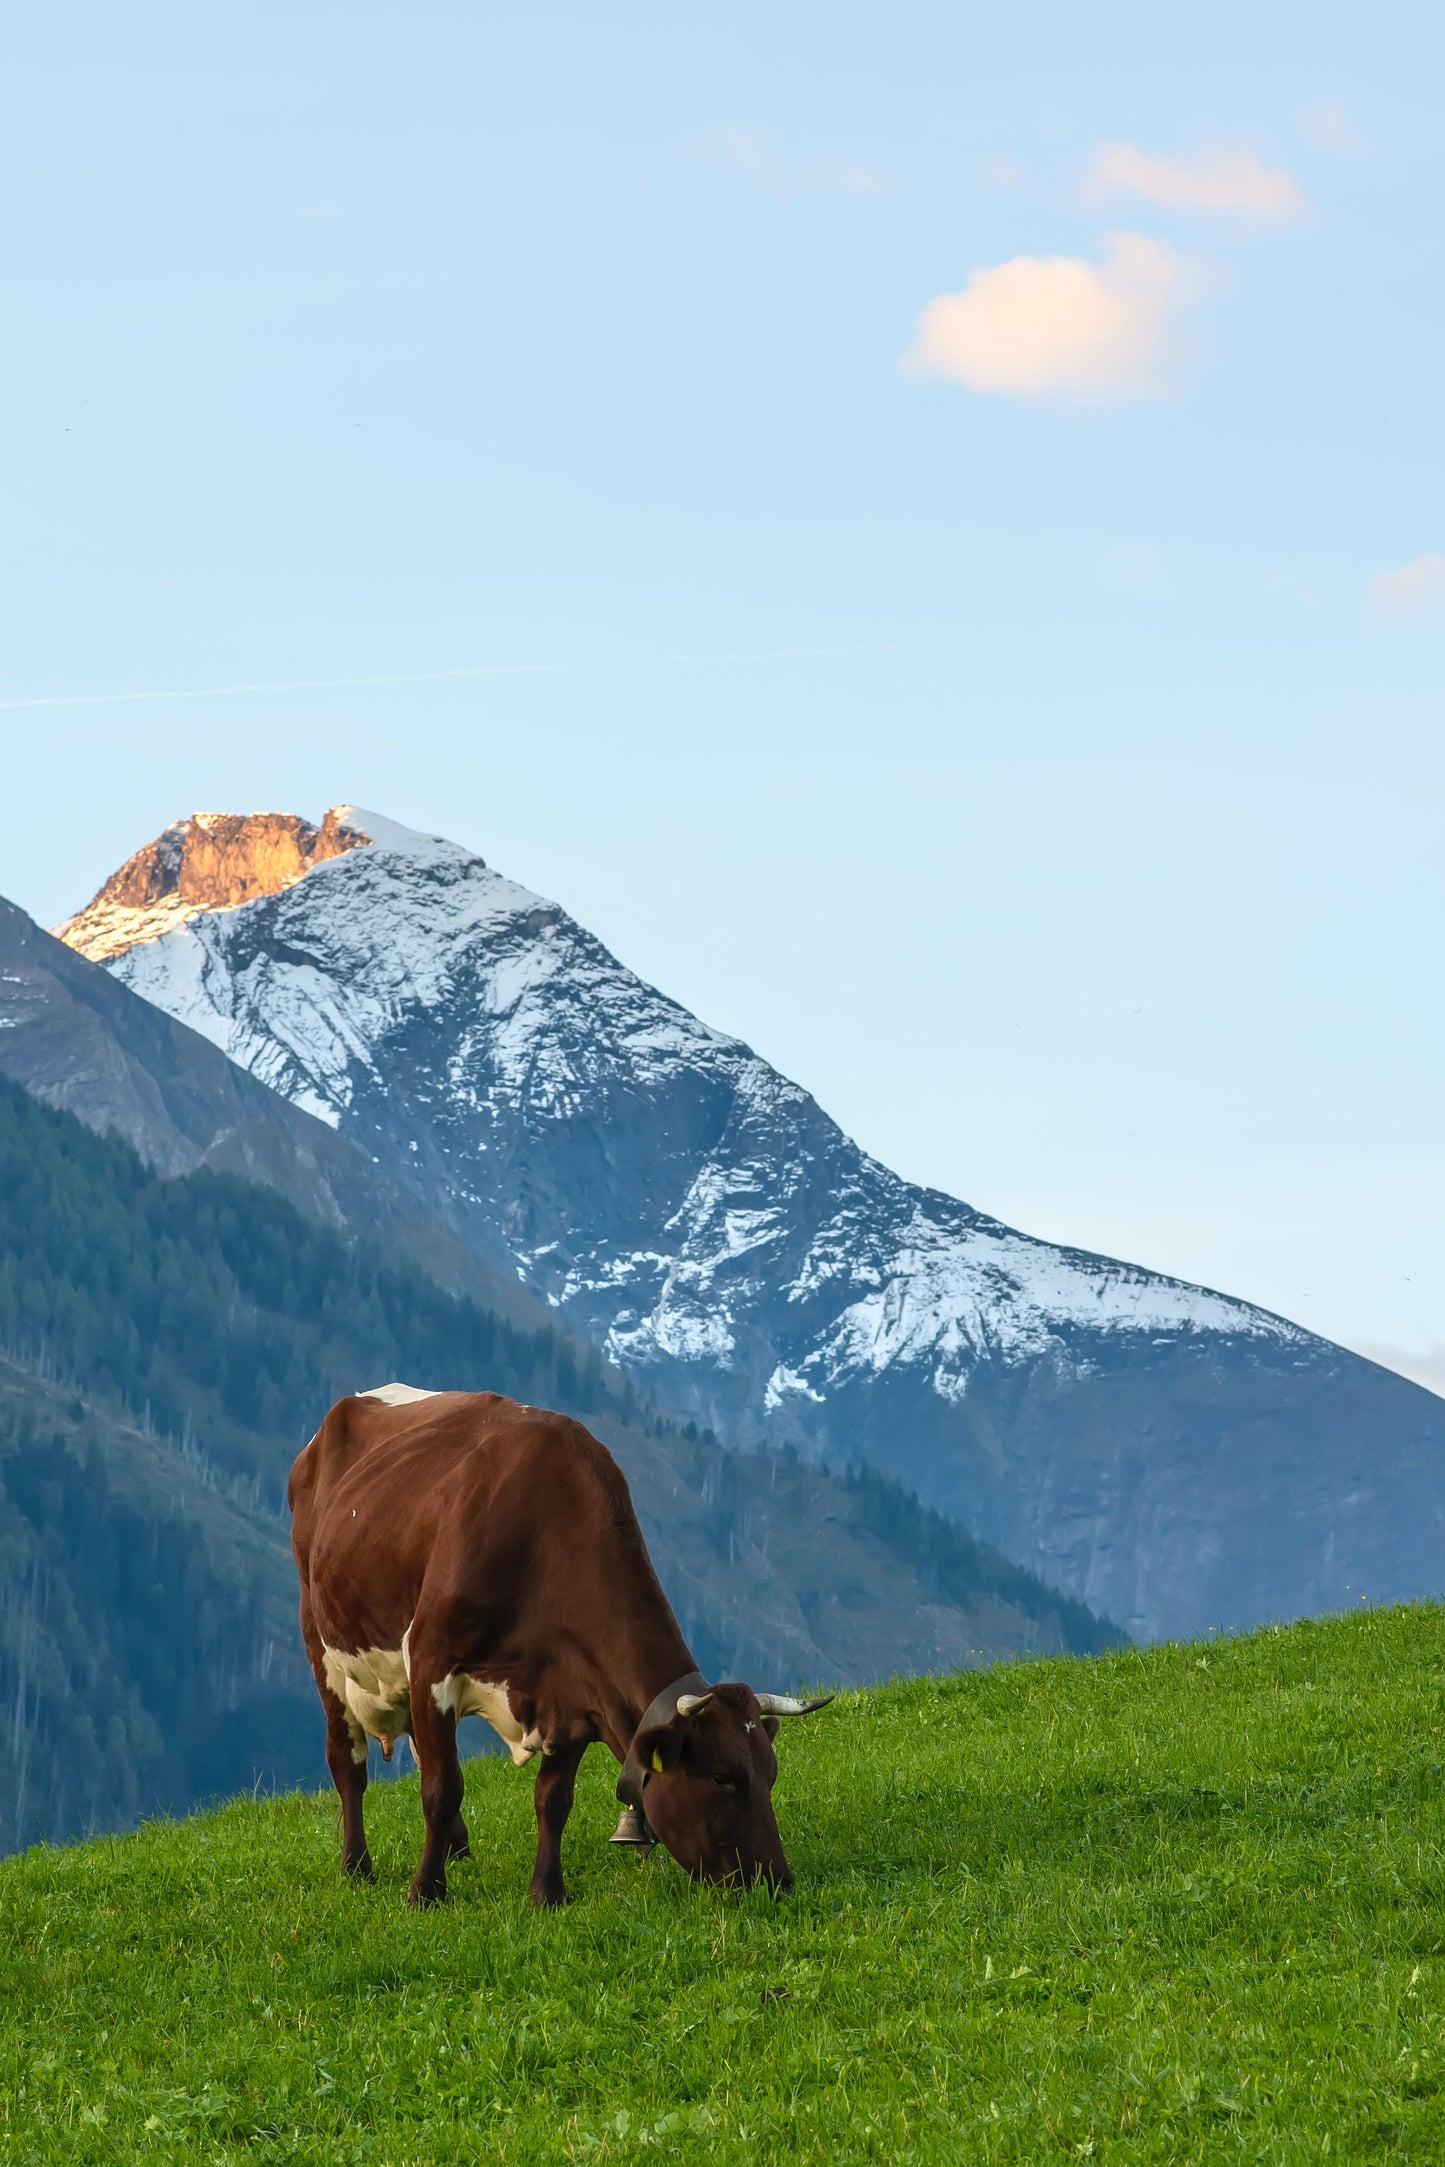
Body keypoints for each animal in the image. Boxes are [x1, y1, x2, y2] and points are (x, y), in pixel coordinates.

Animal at [288, 1384, 831, 1906]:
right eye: (721, 1776)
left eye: (771, 1773)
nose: (777, 1882)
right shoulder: (430, 1658)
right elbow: (442, 1789)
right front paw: (426, 1892)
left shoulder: (575, 1688)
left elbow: (553, 1797)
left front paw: (546, 1893)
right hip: (321, 1641)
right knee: (348, 1761)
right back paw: (356, 1866)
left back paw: (458, 1849)